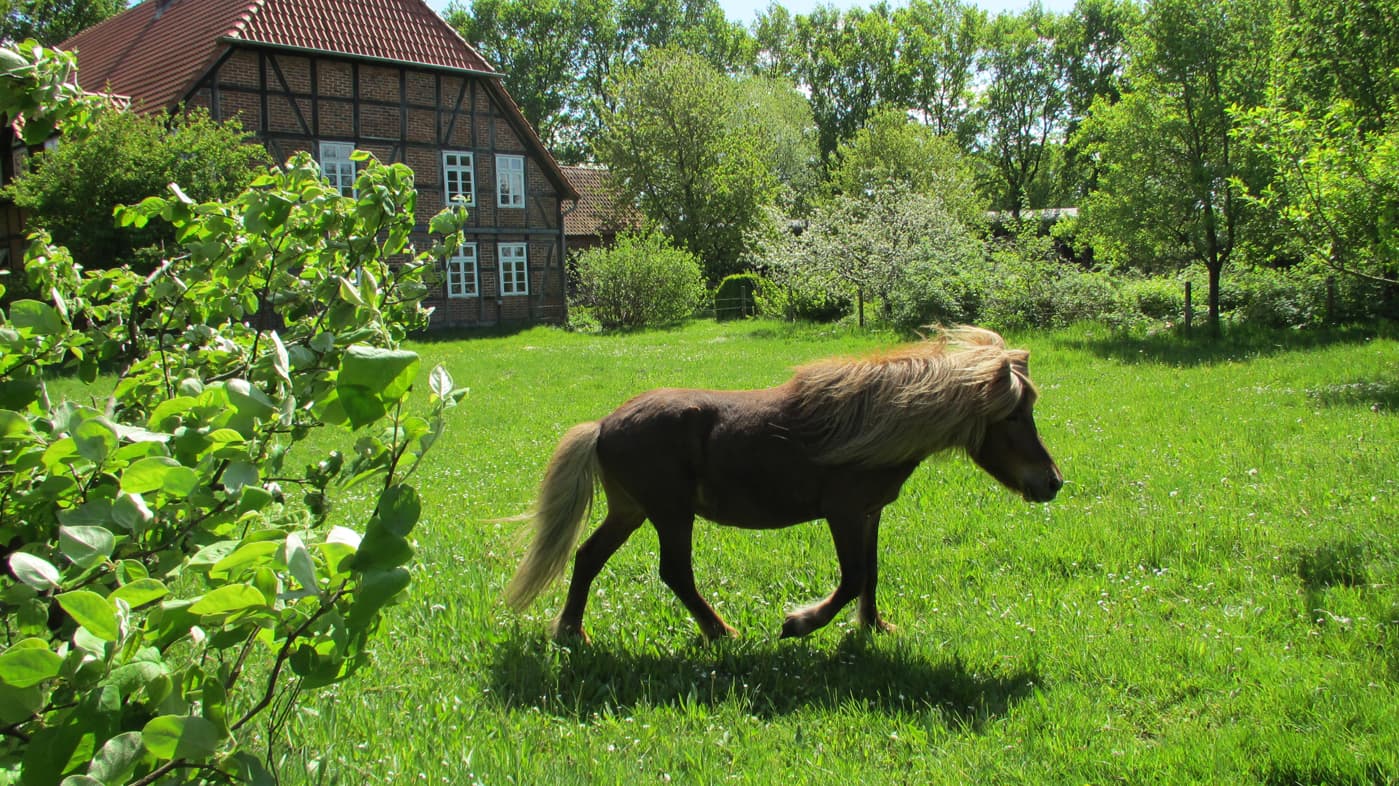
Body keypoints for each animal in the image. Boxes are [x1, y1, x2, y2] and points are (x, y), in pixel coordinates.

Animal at [503, 324, 1057, 637]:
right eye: (1014, 414)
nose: (1053, 482)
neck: (870, 424)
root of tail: (603, 426)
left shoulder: (870, 514)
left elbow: (871, 575)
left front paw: (874, 628)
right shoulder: (843, 513)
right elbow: (852, 578)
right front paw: (800, 623)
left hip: (631, 511)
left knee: (587, 558)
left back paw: (571, 631)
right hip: (670, 514)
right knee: (675, 573)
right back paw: (721, 632)